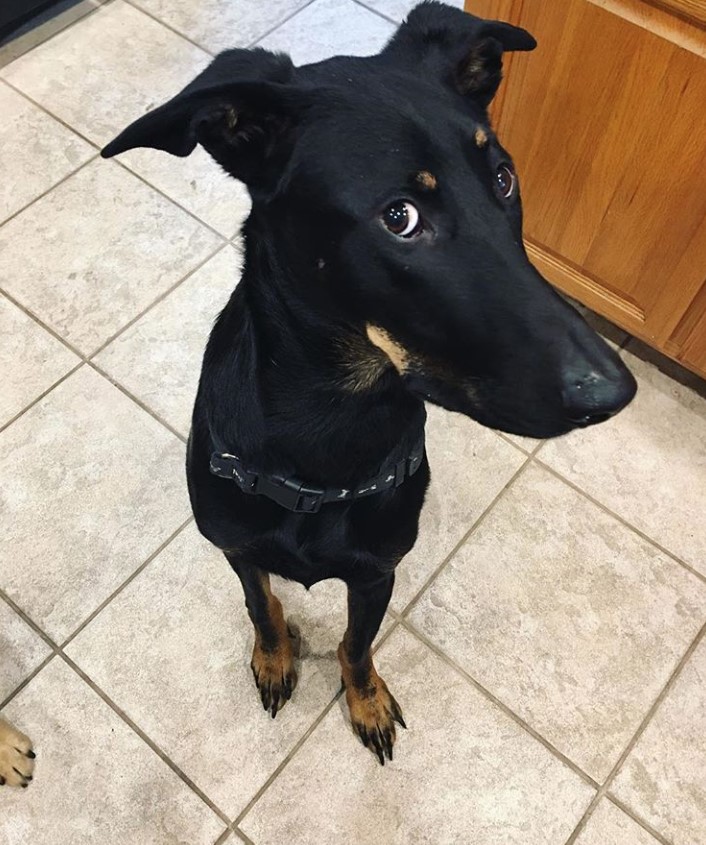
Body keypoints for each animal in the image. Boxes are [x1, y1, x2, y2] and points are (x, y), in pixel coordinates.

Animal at [102, 1, 636, 764]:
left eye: (504, 179)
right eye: (400, 216)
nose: (612, 393)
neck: (330, 422)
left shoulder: (378, 570)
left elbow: (356, 646)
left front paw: (366, 700)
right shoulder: (235, 547)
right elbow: (262, 606)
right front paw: (275, 657)